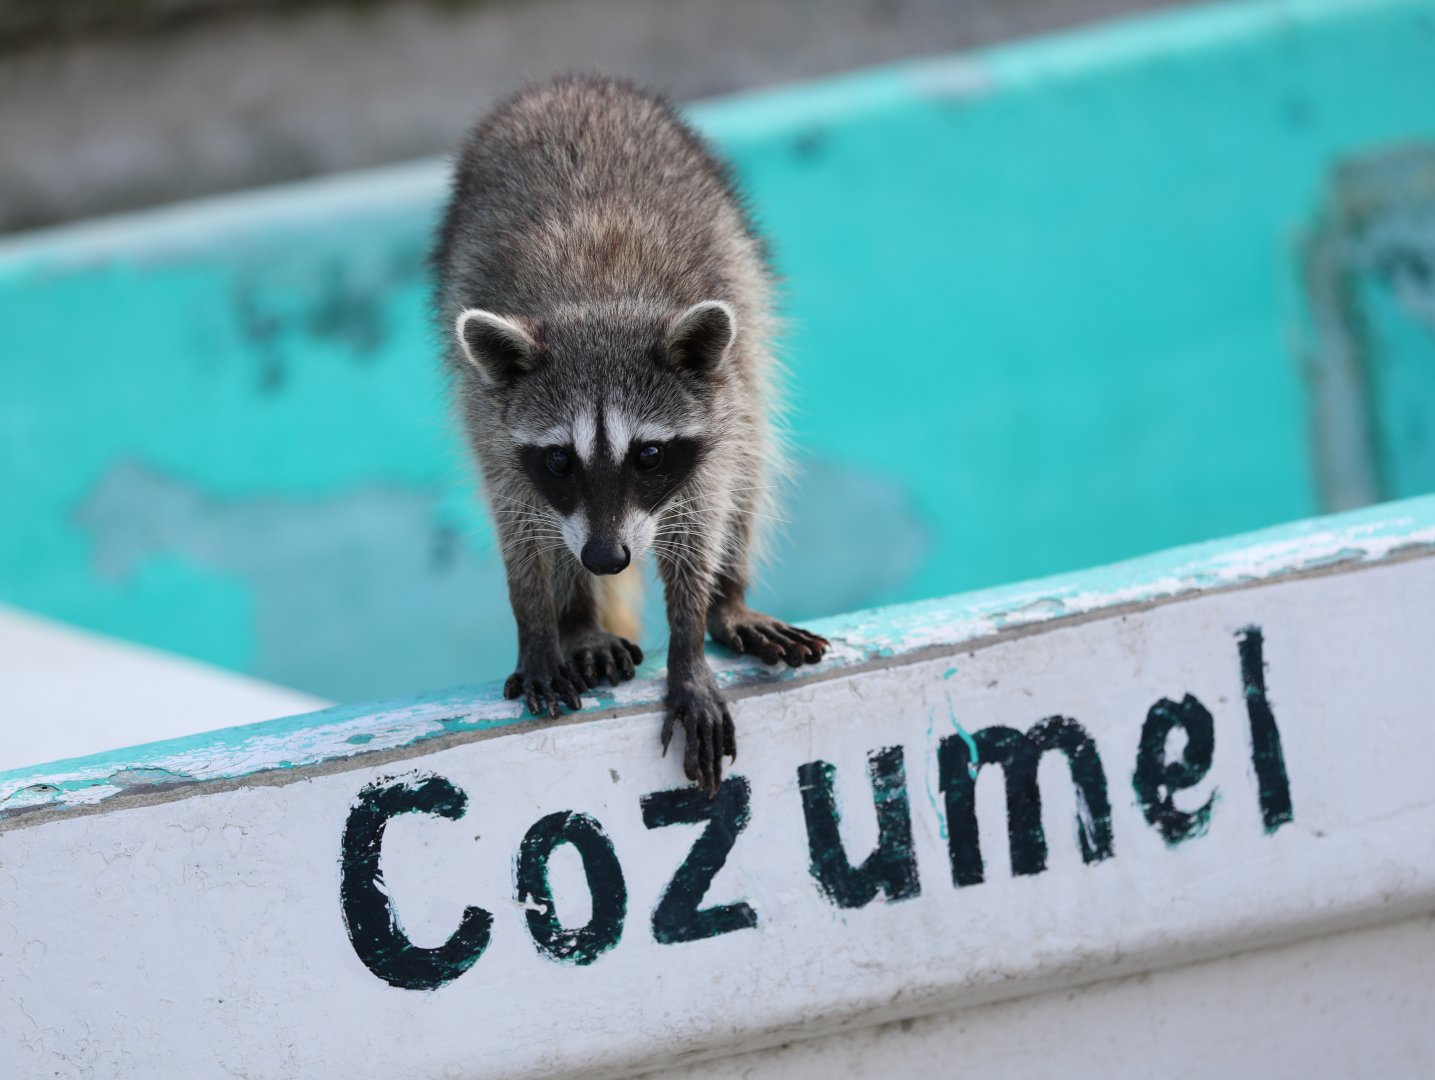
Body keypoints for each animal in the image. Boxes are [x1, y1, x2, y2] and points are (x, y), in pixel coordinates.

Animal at [434, 75, 828, 794]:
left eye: (647, 455)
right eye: (559, 459)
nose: (605, 558)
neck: (598, 299)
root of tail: (567, 83)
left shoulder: (715, 416)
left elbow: (704, 519)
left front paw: (690, 637)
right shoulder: (491, 420)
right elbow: (520, 526)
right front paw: (542, 621)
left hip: (746, 326)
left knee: (754, 464)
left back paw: (729, 598)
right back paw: (579, 624)